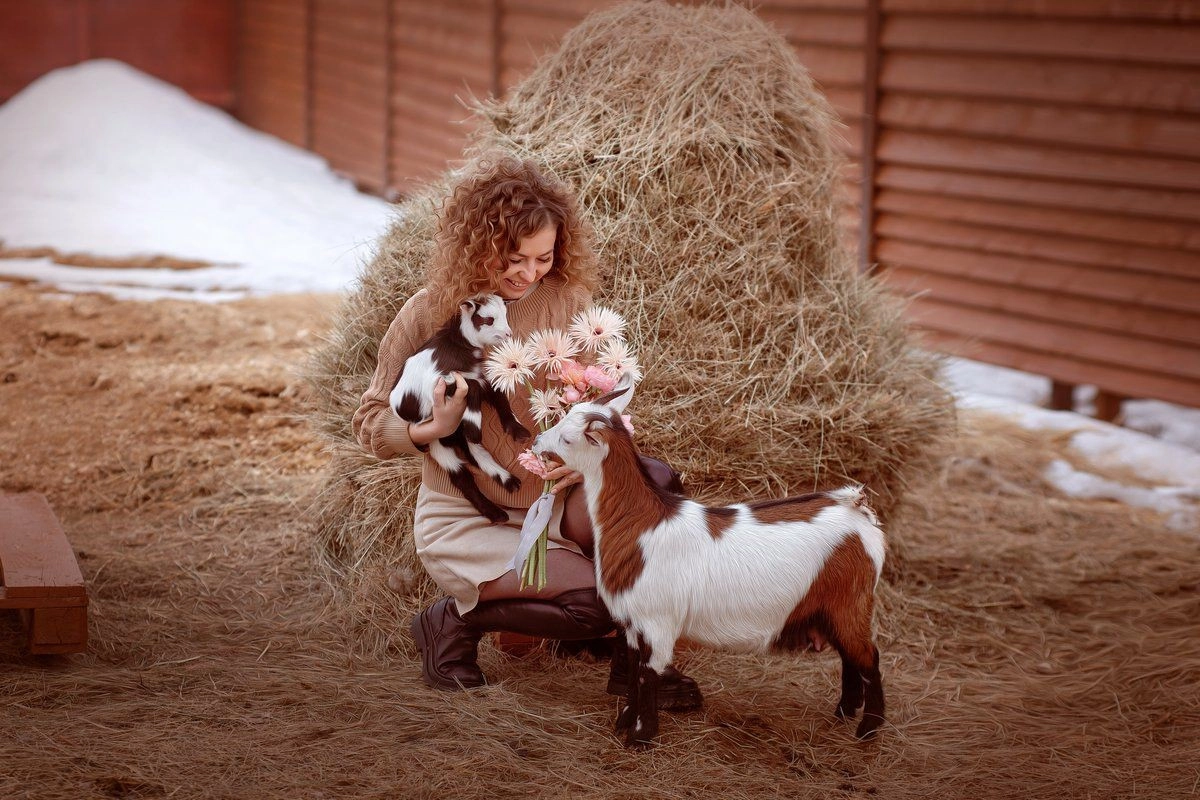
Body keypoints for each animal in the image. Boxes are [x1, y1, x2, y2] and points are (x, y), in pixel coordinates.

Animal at [391, 293, 528, 525]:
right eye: (489, 319)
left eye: (505, 314)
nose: (508, 333)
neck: (457, 344)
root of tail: (452, 438)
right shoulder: (440, 384)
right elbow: (473, 389)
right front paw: (474, 426)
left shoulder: (478, 376)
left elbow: (498, 395)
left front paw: (518, 431)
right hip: (437, 443)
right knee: (462, 477)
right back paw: (496, 512)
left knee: (479, 456)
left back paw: (509, 483)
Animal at [530, 379, 888, 748]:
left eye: (568, 438)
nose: (537, 442)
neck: (642, 524)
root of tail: (859, 514)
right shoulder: (632, 623)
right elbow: (633, 672)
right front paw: (626, 720)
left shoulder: (658, 621)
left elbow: (647, 674)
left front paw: (641, 736)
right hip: (830, 607)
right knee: (849, 659)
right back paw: (844, 712)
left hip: (850, 602)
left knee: (868, 658)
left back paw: (868, 729)